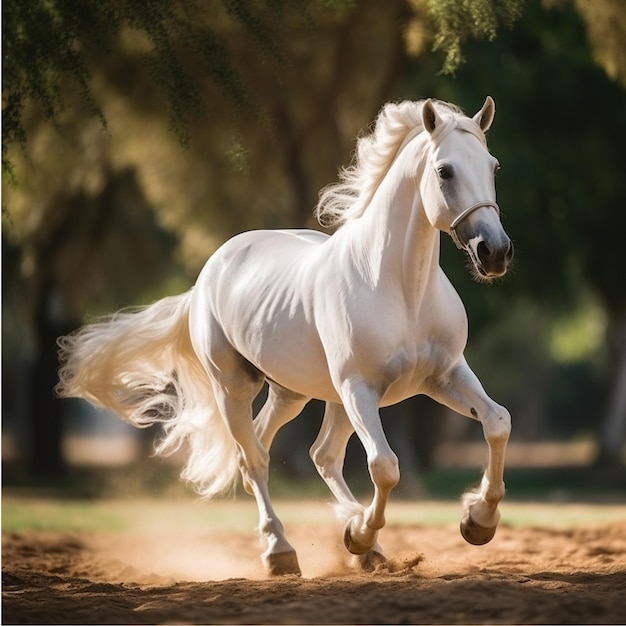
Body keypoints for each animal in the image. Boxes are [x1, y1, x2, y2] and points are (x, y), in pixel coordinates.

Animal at [56, 96, 510, 576]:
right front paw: (361, 534)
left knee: (313, 453)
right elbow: (385, 466)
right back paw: (282, 552)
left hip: (298, 393)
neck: (400, 288)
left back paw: (364, 548)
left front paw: (477, 522)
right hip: (237, 387)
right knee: (255, 456)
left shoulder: (443, 376)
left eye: (493, 166)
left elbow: (497, 423)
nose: (495, 253)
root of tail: (207, 277)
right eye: (445, 171)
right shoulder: (359, 388)